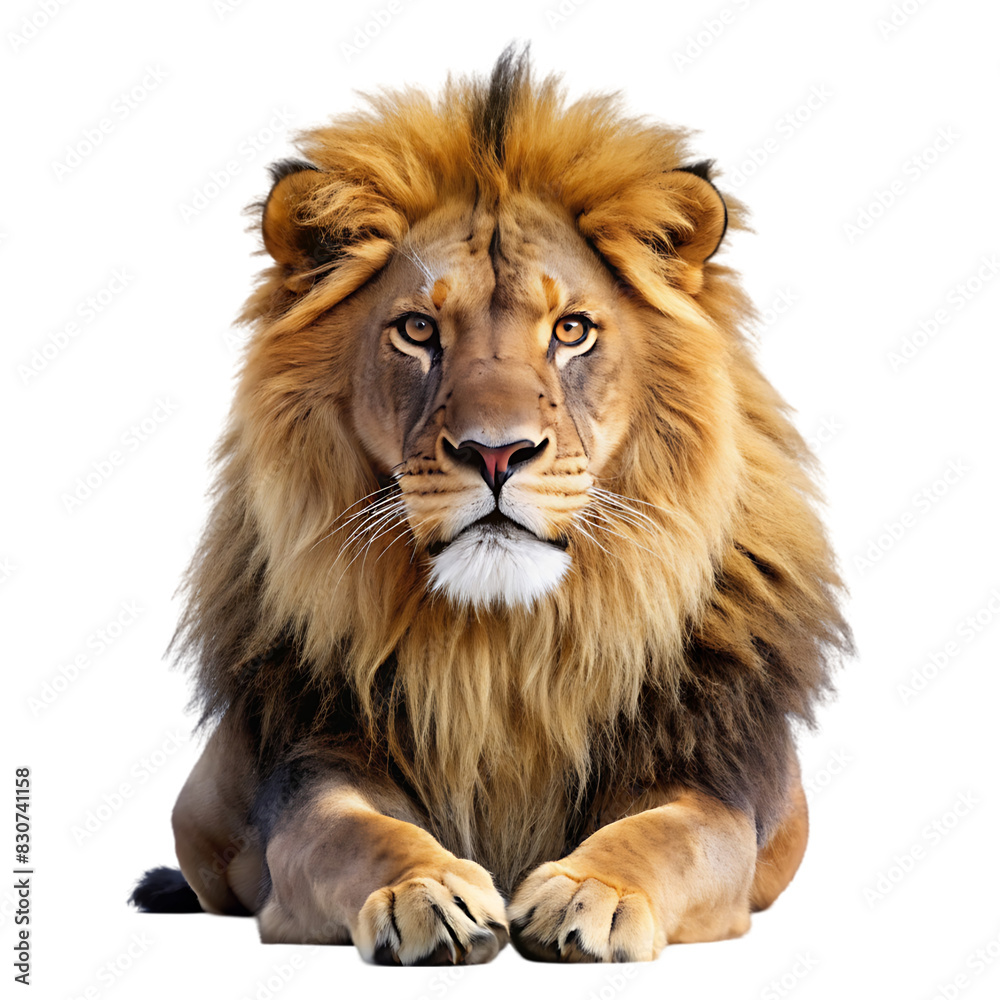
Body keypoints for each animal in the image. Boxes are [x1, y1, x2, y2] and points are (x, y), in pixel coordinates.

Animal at [130, 48, 851, 964]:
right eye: (417, 331)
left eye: (572, 330)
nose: (497, 453)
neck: (501, 647)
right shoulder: (314, 776)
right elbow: (352, 835)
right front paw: (426, 890)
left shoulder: (712, 783)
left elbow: (665, 835)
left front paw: (591, 892)